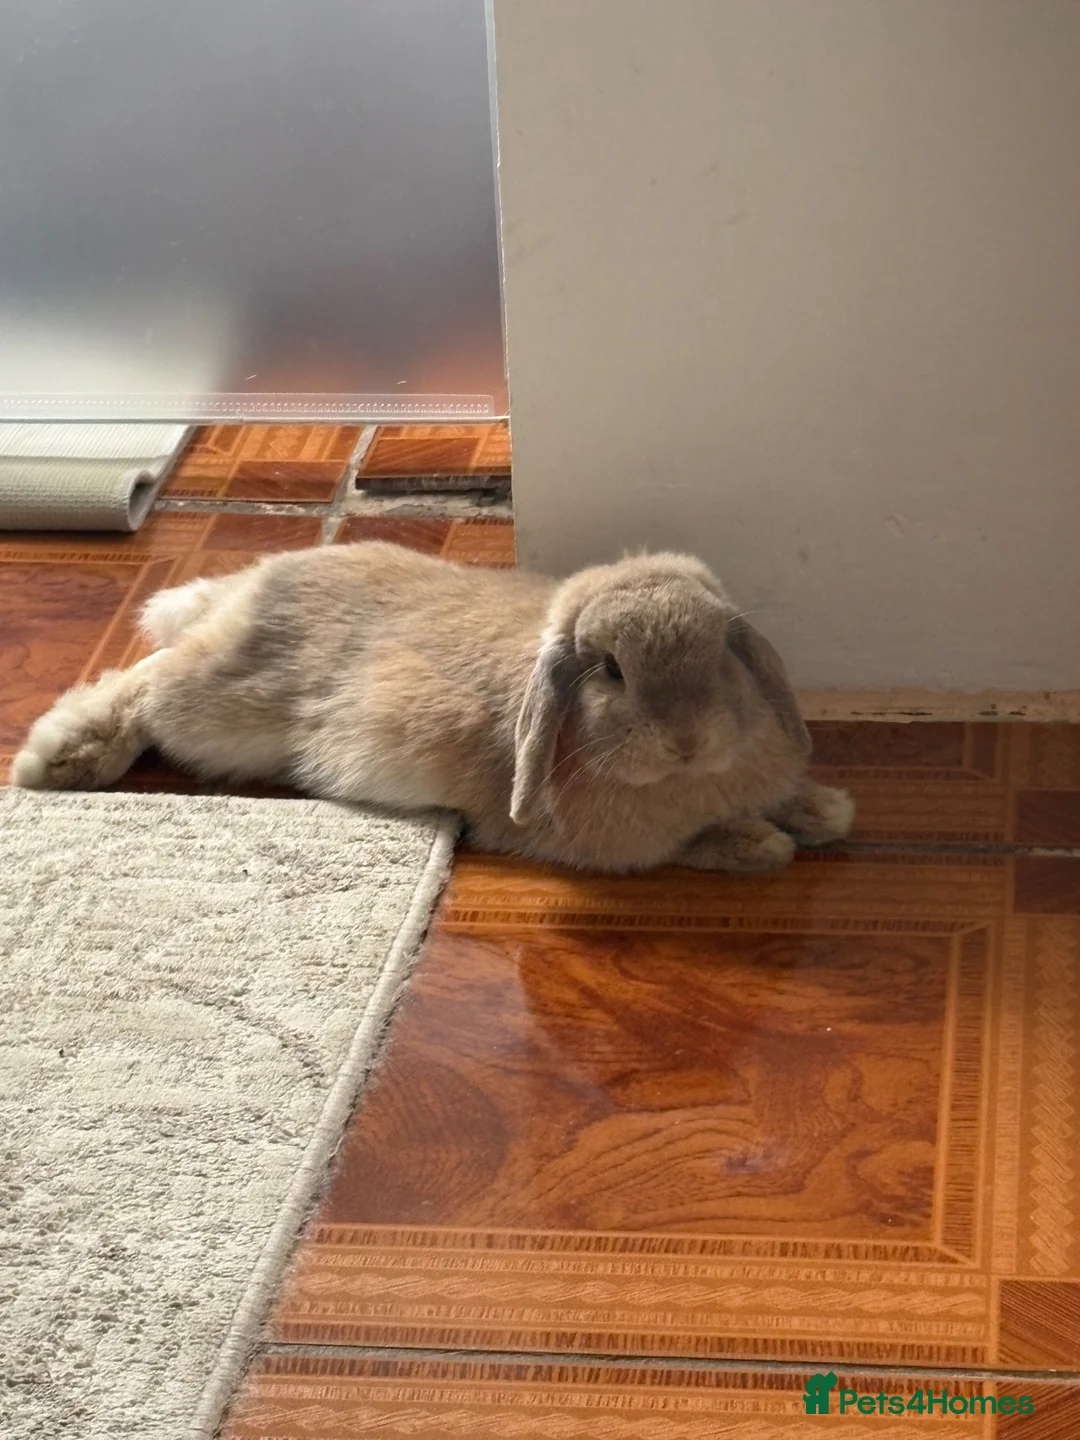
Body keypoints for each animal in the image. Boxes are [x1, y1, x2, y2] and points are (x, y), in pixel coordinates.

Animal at [11, 542, 854, 874]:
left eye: (721, 654)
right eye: (610, 670)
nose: (686, 740)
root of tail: (251, 585)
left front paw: (824, 809)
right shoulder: (631, 845)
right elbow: (714, 842)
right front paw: (763, 841)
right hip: (221, 708)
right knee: (147, 683)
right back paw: (62, 756)